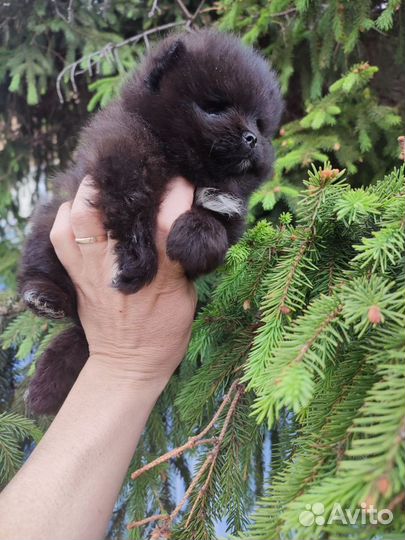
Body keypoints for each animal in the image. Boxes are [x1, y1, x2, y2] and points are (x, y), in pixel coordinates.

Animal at [19, 28, 282, 414]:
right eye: (214, 107)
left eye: (260, 124)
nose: (251, 139)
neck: (183, 164)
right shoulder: (122, 163)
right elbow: (133, 213)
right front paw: (138, 264)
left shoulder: (231, 206)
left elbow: (215, 223)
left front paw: (194, 239)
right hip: (48, 222)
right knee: (42, 272)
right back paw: (44, 296)